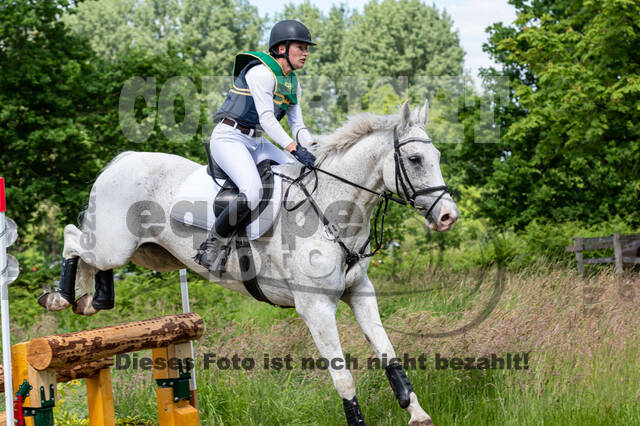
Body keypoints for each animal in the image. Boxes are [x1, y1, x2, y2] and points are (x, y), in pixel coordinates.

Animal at [39, 100, 458, 426]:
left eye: (436, 157)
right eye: (415, 159)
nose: (448, 216)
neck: (333, 208)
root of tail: (122, 161)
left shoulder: (360, 292)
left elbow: (390, 355)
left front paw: (417, 413)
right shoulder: (316, 307)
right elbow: (344, 379)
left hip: (149, 253)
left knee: (92, 259)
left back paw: (93, 300)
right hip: (114, 244)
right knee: (73, 237)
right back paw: (60, 297)